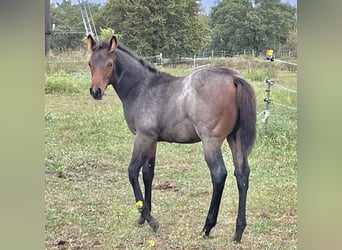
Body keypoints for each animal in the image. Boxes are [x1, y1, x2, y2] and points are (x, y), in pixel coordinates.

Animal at [87, 34, 255, 243]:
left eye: (109, 64)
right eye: (90, 63)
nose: (96, 91)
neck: (141, 88)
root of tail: (233, 78)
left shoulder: (143, 137)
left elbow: (132, 172)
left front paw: (151, 219)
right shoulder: (152, 140)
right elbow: (148, 174)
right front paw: (143, 217)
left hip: (211, 141)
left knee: (219, 175)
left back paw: (207, 227)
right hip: (235, 139)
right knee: (242, 175)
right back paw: (238, 231)